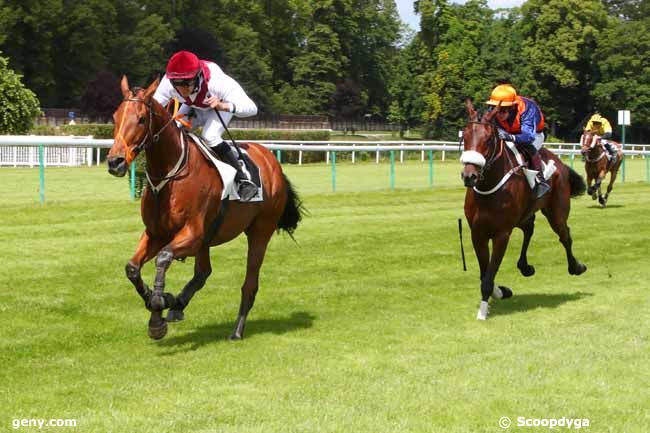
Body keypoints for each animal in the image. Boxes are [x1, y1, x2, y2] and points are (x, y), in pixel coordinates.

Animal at [458, 99, 584, 318]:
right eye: (464, 136)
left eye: (488, 139)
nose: (469, 176)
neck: (488, 189)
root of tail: (559, 161)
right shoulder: (478, 233)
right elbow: (485, 273)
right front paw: (500, 292)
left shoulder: (502, 234)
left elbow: (488, 276)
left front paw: (482, 312)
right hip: (525, 213)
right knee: (529, 228)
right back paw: (525, 266)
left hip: (556, 212)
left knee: (565, 235)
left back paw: (575, 266)